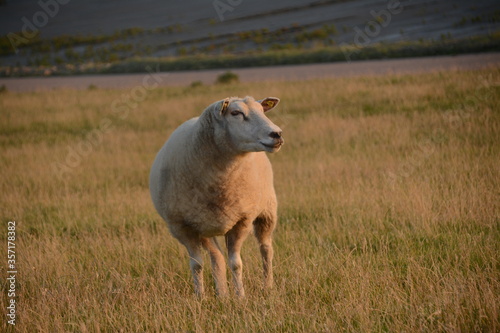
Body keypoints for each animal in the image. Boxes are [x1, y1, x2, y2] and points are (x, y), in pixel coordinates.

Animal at [148, 95, 284, 296]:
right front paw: (200, 297)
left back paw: (267, 286)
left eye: (262, 110)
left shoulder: (242, 221)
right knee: (216, 256)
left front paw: (240, 296)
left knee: (266, 248)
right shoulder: (181, 227)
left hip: (267, 210)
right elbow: (196, 265)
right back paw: (222, 294)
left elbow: (236, 263)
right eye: (235, 113)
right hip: (205, 227)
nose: (277, 134)